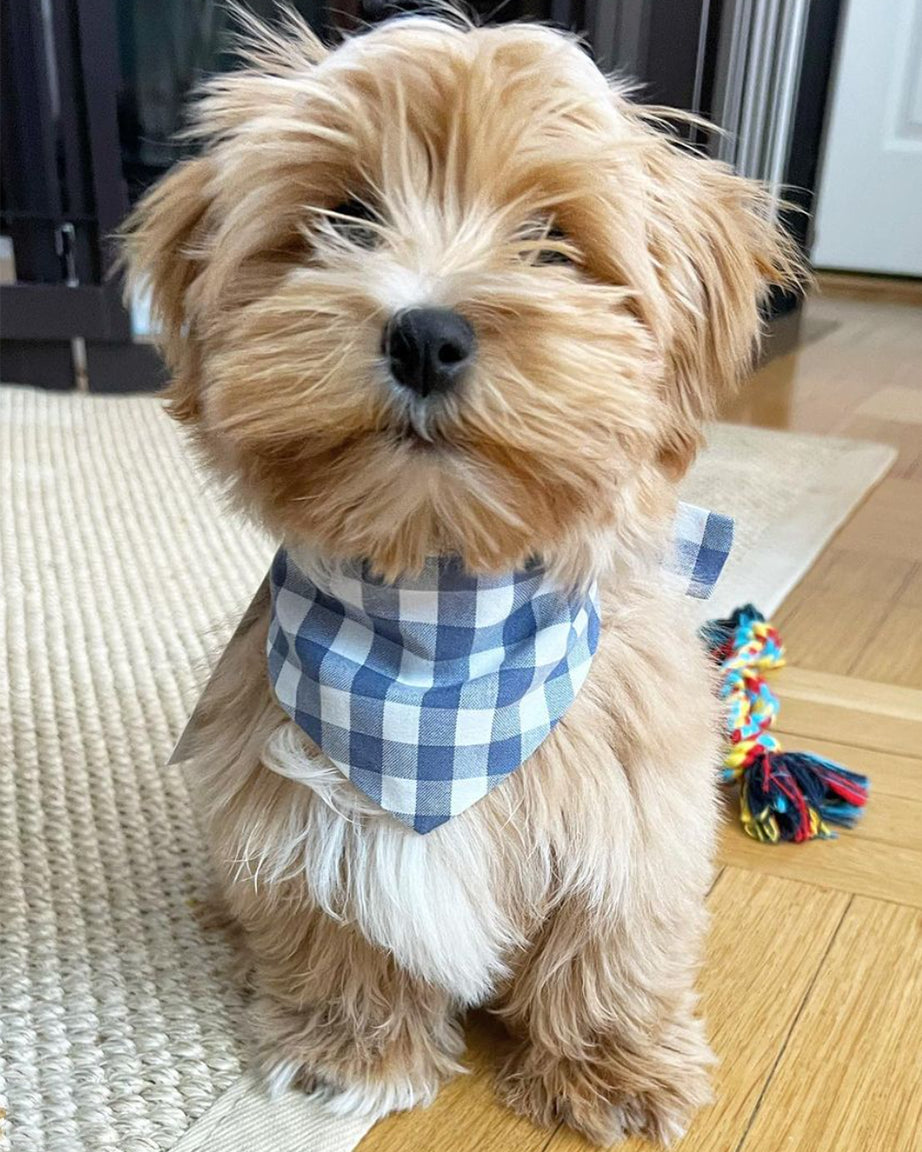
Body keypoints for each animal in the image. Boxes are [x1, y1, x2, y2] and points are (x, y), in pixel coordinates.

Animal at [124, 6, 797, 1142]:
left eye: (551, 240)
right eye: (346, 215)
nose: (427, 334)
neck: (439, 631)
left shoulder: (635, 807)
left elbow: (611, 936)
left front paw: (610, 1064)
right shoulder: (283, 806)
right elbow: (335, 921)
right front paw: (351, 1047)